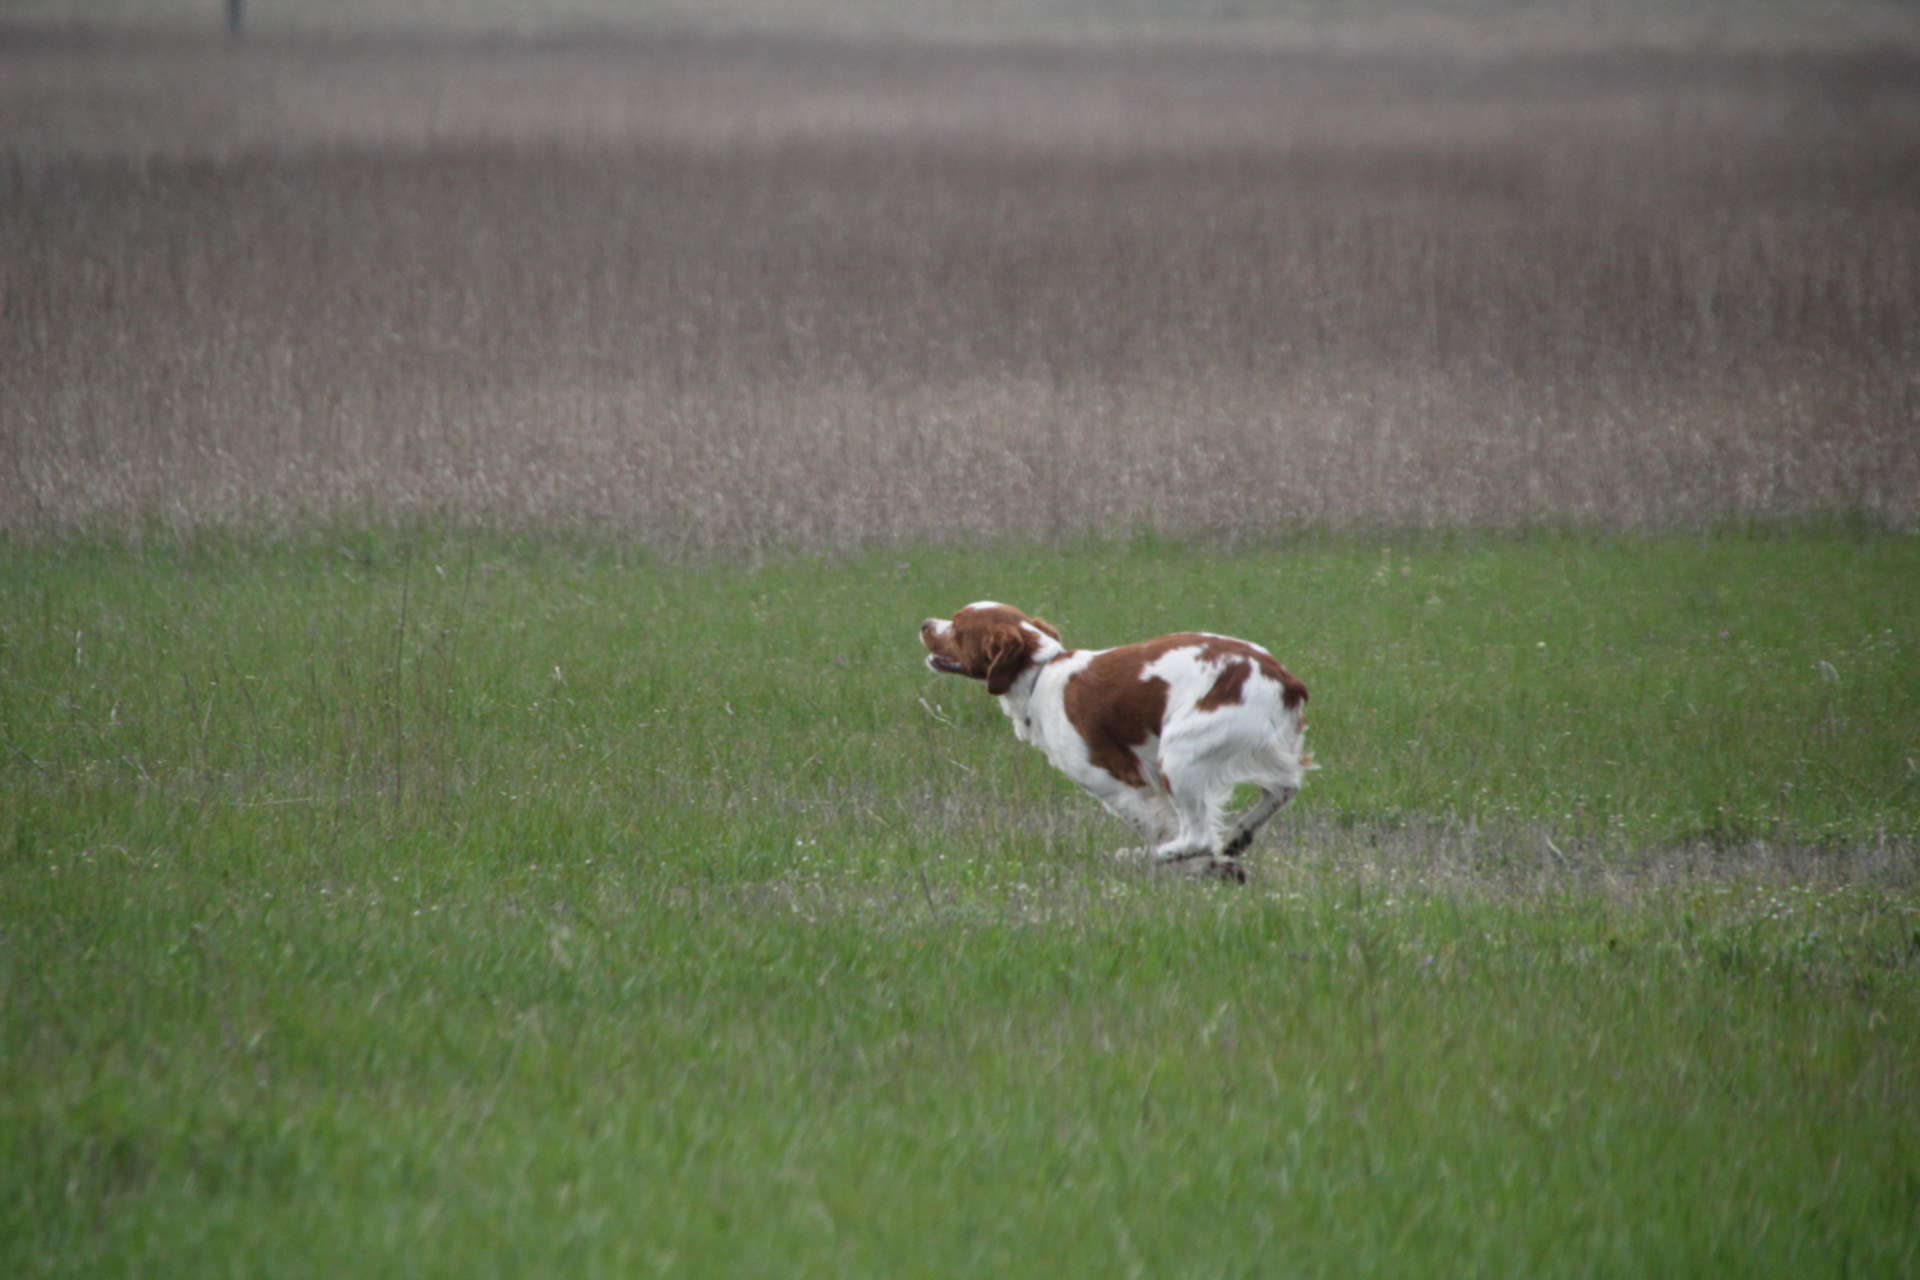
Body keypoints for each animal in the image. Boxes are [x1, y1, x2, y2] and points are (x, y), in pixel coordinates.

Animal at [921, 602, 1313, 882]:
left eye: (957, 624)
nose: (924, 623)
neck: (1041, 672)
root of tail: (1282, 677)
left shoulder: (1118, 783)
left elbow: (1164, 830)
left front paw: (1205, 868)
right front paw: (1219, 865)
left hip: (1180, 752)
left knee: (1197, 835)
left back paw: (1137, 858)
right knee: (1283, 788)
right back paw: (1235, 838)